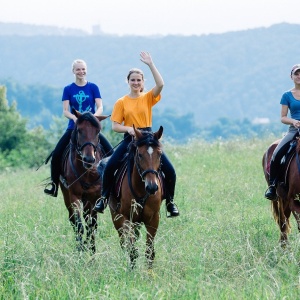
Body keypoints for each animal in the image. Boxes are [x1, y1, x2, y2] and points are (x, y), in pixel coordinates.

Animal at [59, 110, 109, 253]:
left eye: (98, 131)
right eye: (79, 130)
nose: (89, 159)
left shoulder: (94, 198)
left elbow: (92, 226)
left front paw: (91, 251)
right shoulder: (74, 196)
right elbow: (79, 224)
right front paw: (80, 249)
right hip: (67, 196)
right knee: (73, 220)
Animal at [106, 125, 164, 268]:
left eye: (160, 154)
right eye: (140, 155)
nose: (152, 187)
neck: (141, 190)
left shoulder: (153, 219)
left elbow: (149, 252)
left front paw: (149, 273)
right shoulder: (127, 219)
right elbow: (132, 251)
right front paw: (131, 271)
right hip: (117, 219)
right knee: (123, 243)